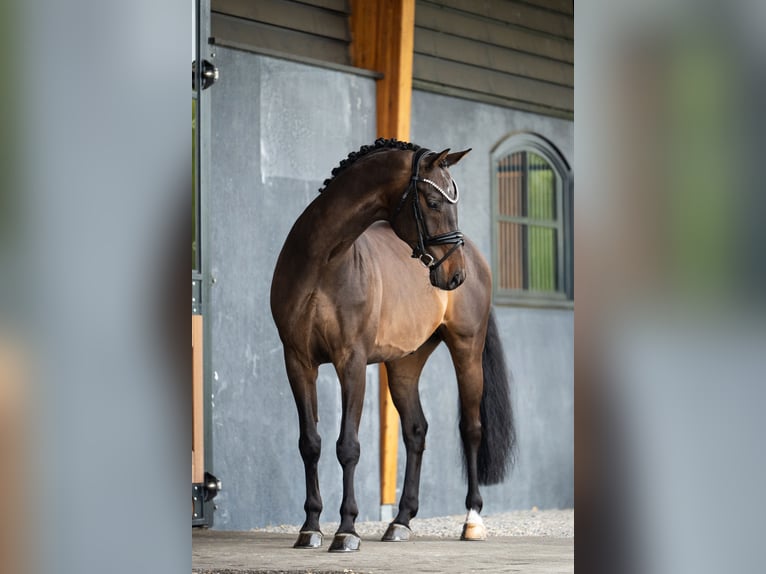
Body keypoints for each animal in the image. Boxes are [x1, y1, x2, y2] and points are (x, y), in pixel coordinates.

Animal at [270, 138, 515, 552]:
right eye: (433, 202)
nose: (455, 275)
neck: (323, 262)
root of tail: (478, 259)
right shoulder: (298, 362)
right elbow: (311, 443)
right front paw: (311, 527)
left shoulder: (351, 362)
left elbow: (348, 446)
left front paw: (347, 530)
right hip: (405, 365)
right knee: (416, 431)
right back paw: (400, 521)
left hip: (466, 350)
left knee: (471, 428)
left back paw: (472, 521)